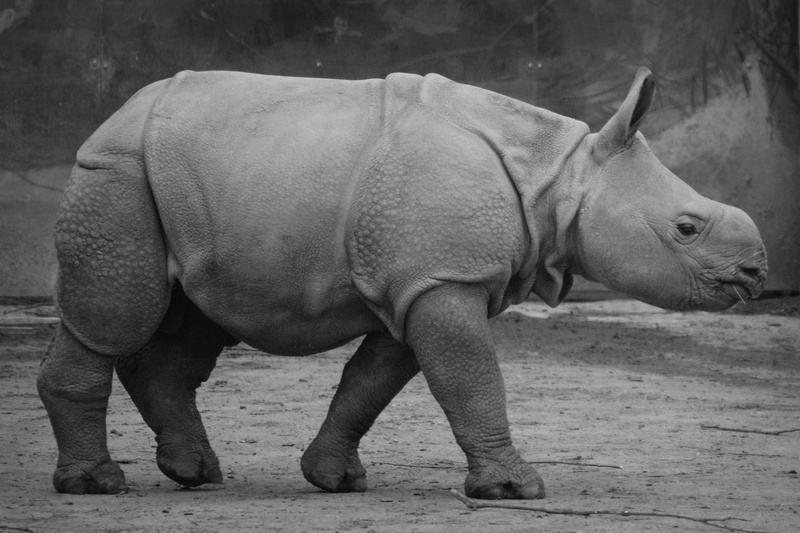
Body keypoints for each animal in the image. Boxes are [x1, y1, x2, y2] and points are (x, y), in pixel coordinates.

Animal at [38, 67, 767, 499]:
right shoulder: (442, 277)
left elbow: (374, 382)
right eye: (686, 228)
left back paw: (194, 474)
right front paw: (515, 490)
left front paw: (334, 479)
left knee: (194, 319)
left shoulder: (419, 279)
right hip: (117, 172)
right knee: (115, 318)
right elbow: (471, 379)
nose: (757, 271)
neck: (559, 177)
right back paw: (97, 485)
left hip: (183, 185)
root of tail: (116, 113)